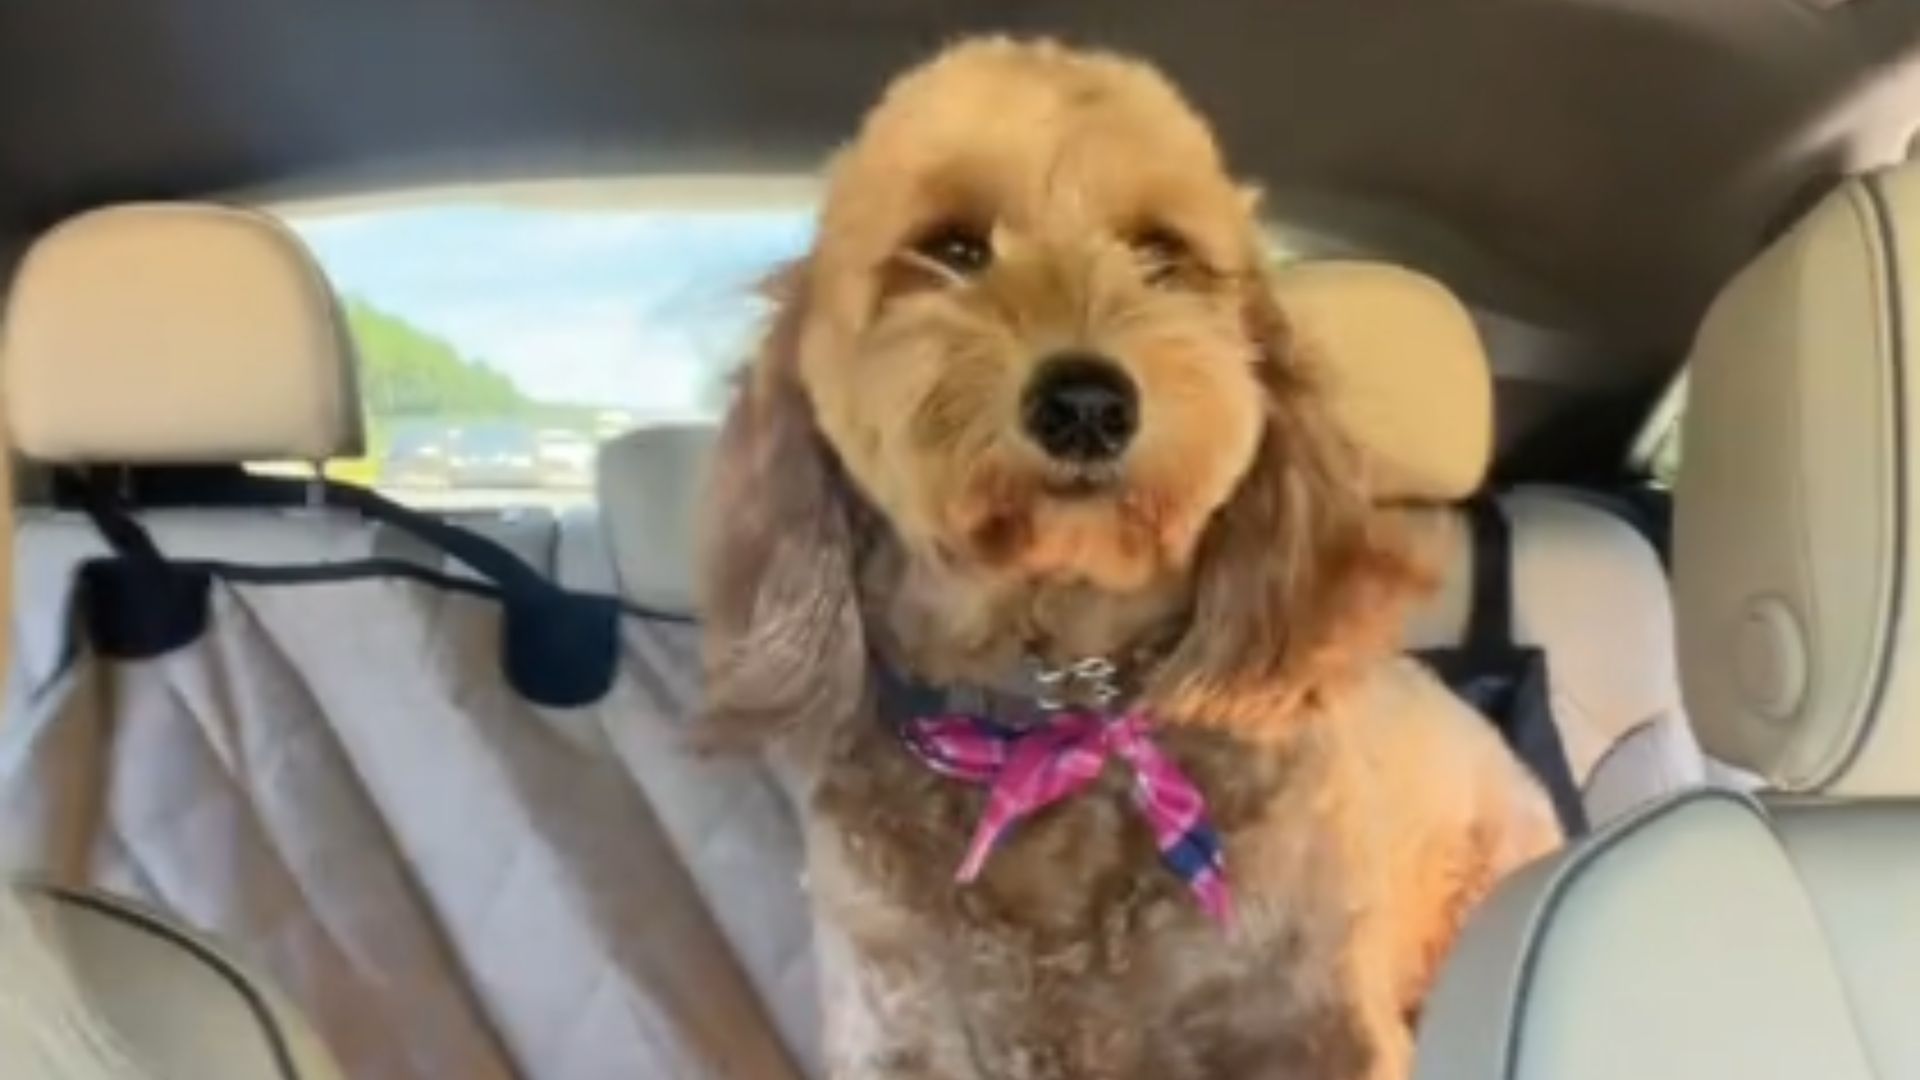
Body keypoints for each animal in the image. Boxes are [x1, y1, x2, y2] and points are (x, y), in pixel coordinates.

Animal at [698, 37, 1566, 1076]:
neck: (1060, 713)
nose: (1086, 404)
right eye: (953, 249)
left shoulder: (1309, 1023)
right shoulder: (899, 1025)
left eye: (1162, 255)